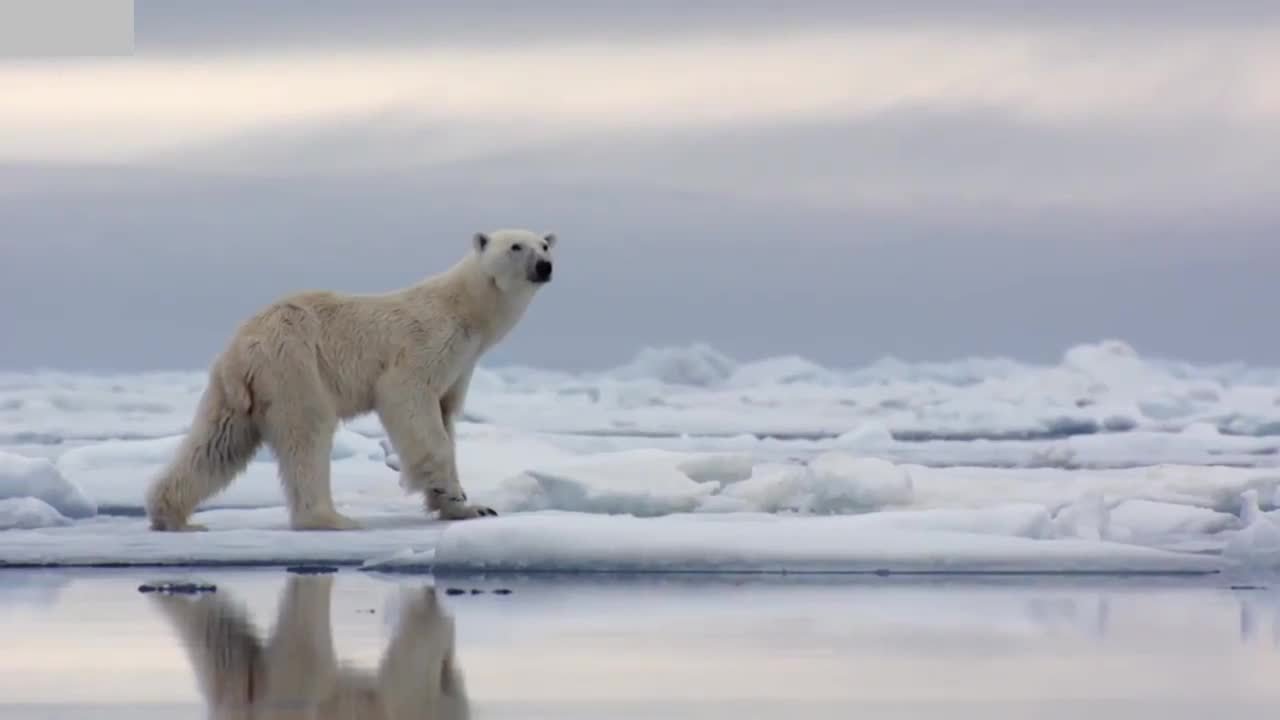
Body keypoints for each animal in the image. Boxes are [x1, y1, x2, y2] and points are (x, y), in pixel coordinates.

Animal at [145, 226, 555, 530]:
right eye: (516, 246)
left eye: (545, 243)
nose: (545, 265)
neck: (466, 310)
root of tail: (242, 344)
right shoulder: (425, 346)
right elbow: (411, 403)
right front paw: (452, 493)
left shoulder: (460, 366)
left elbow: (446, 414)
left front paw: (469, 507)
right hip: (294, 365)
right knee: (308, 431)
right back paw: (329, 517)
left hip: (237, 391)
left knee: (217, 443)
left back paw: (172, 514)